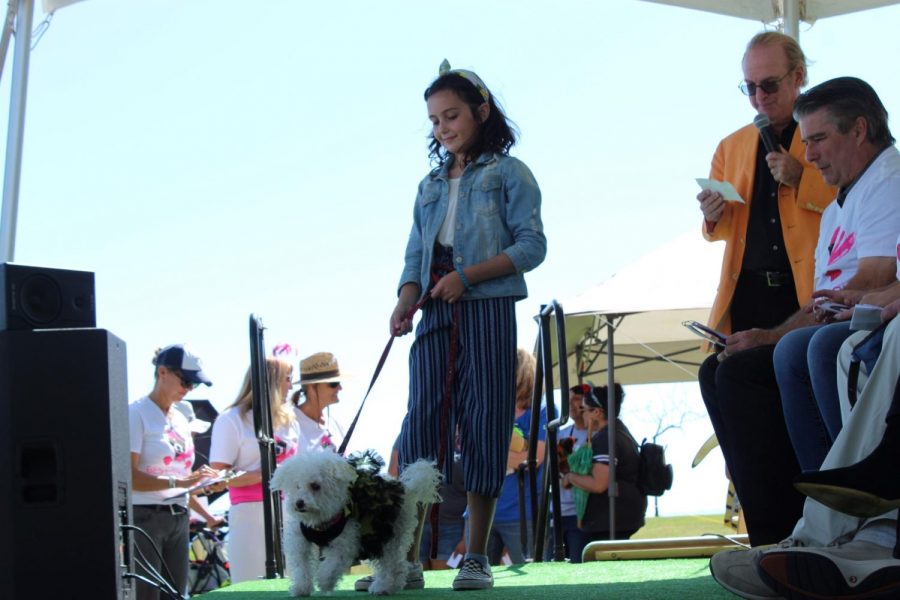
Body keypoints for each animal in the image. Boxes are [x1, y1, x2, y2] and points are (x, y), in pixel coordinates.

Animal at [274, 450, 442, 596]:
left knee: (392, 564)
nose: (299, 503)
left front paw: (324, 582)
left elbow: (331, 565)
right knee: (397, 565)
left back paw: (383, 587)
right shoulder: (299, 541)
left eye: (315, 486)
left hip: (386, 535)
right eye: (296, 486)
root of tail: (406, 490)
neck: (320, 522)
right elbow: (301, 566)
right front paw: (301, 588)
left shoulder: (344, 542)